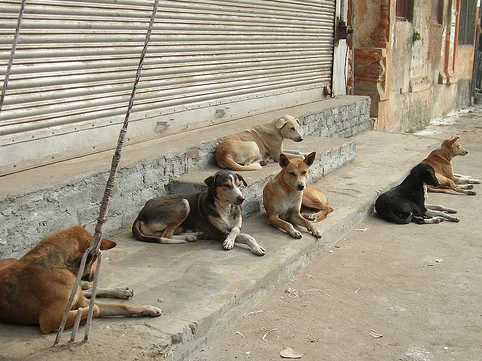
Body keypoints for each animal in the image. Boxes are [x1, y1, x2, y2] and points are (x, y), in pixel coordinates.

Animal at [0, 226, 162, 334]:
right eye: (96, 259)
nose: (94, 275)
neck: (58, 265)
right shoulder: (51, 321)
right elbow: (95, 308)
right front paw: (82, 319)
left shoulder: (81, 301)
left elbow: (122, 307)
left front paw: (147, 309)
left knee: (87, 290)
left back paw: (120, 291)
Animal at [133, 169, 264, 256]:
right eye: (226, 185)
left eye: (239, 185)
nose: (242, 199)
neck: (225, 208)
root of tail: (140, 215)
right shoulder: (218, 232)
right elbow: (245, 236)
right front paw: (230, 242)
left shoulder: (236, 225)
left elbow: (237, 230)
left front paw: (254, 246)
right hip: (183, 202)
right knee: (165, 235)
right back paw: (191, 237)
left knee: (162, 234)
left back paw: (195, 235)